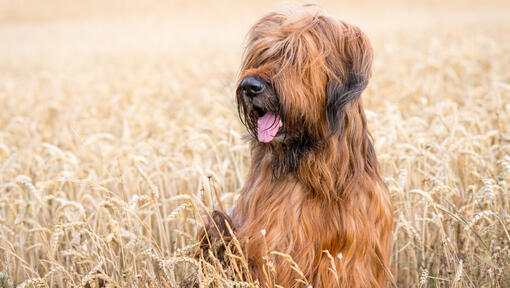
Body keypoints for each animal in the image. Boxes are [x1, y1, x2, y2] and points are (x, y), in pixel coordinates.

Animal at [197, 4, 392, 288]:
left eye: (294, 56)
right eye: (261, 55)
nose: (249, 86)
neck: (321, 177)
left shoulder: (357, 256)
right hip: (218, 224)